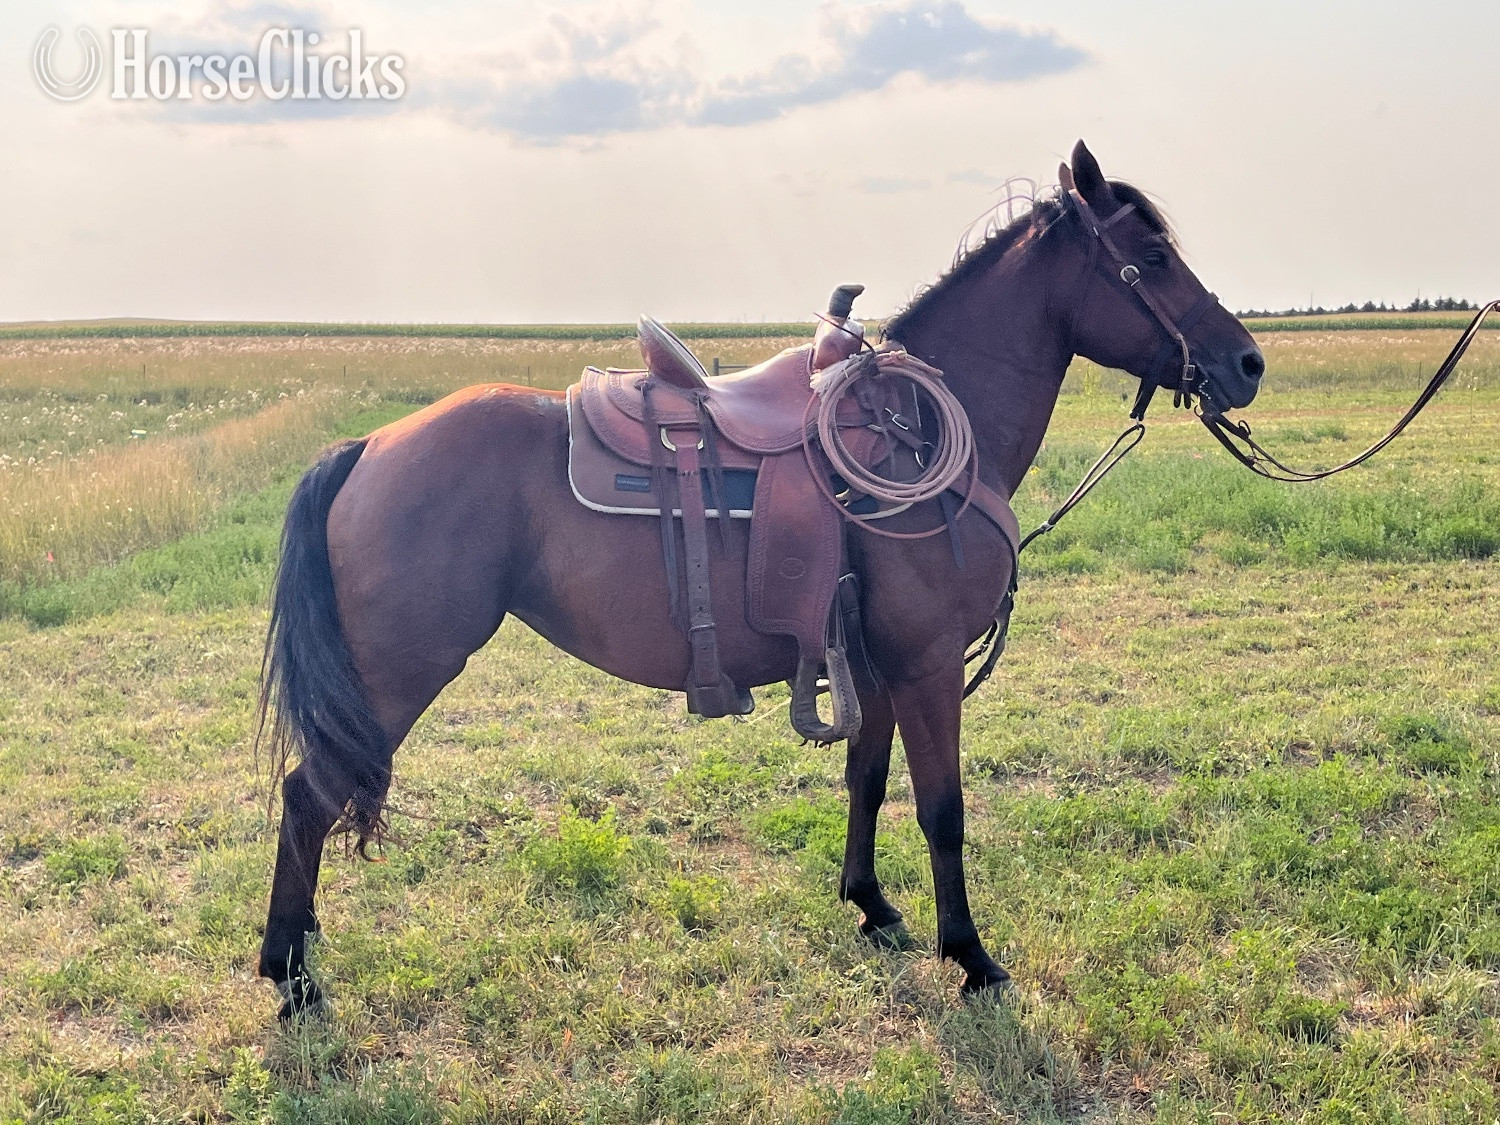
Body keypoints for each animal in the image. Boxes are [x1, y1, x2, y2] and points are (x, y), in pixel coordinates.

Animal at [256, 140, 1266, 1019]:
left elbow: (867, 779)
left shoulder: (877, 664)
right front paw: (972, 956)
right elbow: (943, 809)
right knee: (309, 796)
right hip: (399, 671)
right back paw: (291, 975)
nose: (1246, 362)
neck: (920, 433)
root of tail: (367, 446)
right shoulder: (931, 664)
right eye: (1151, 257)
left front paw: (871, 905)